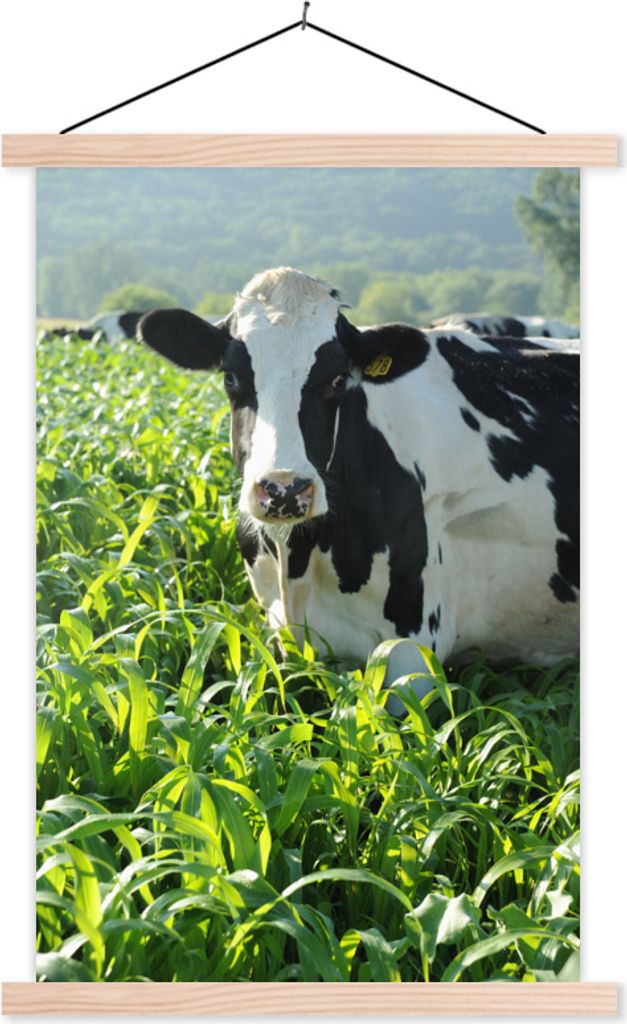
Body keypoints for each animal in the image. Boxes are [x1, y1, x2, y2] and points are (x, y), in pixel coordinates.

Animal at [139, 267, 579, 710]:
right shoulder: (280, 634)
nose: (284, 490)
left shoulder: (411, 650)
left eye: (337, 380)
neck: (297, 562)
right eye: (231, 378)